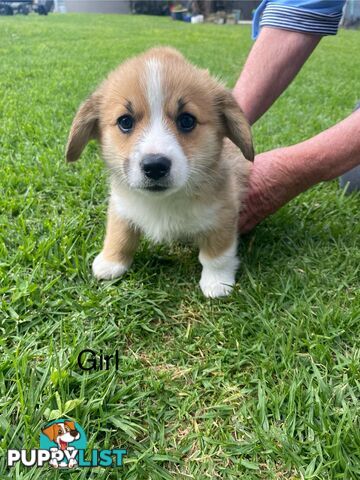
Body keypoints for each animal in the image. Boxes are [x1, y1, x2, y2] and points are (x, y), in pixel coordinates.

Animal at [67, 47, 253, 296]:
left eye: (187, 120)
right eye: (125, 121)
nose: (154, 166)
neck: (162, 202)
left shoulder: (223, 212)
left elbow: (216, 254)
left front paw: (217, 282)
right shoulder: (120, 204)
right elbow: (119, 234)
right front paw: (110, 262)